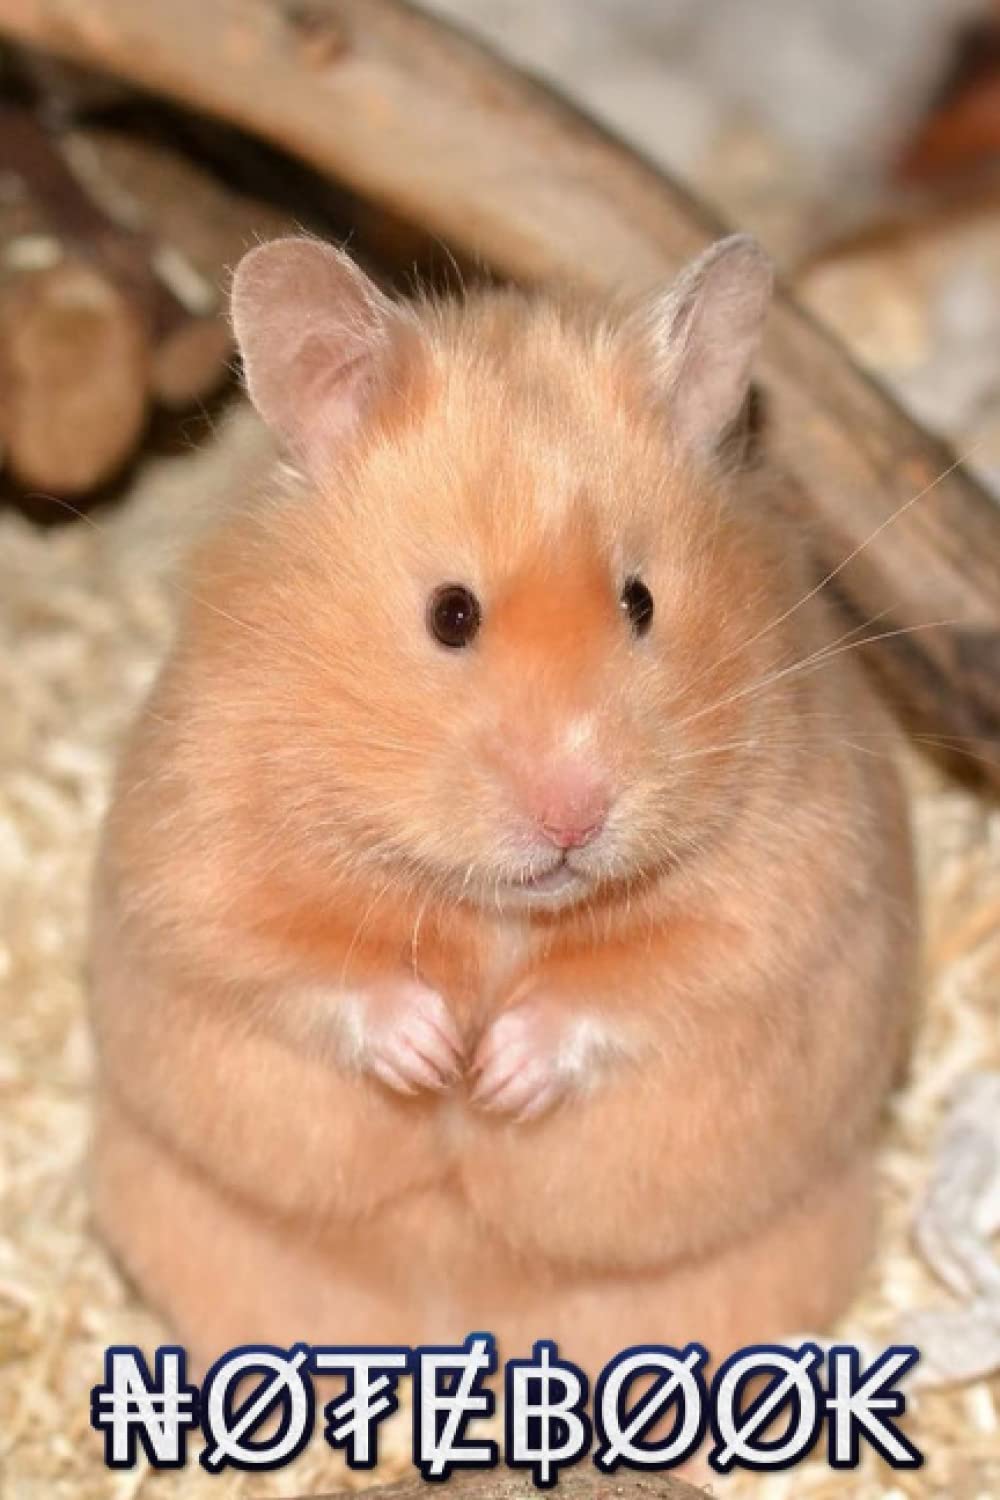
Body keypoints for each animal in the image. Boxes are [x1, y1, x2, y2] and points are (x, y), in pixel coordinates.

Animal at [89, 234, 917, 1376]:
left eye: (640, 601)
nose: (575, 818)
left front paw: (496, 1075)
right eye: (452, 614)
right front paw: (438, 1056)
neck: (496, 916)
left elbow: (647, 982)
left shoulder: (788, 884)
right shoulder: (195, 861)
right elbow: (296, 962)